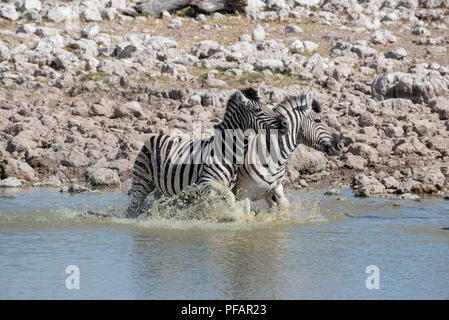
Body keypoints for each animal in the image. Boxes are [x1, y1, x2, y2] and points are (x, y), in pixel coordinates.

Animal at [126, 87, 288, 218]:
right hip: (142, 181)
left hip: (164, 188)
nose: (285, 123)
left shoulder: (221, 188)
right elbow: (230, 199)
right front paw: (234, 216)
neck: (227, 151)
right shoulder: (206, 183)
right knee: (133, 208)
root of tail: (156, 136)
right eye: (258, 110)